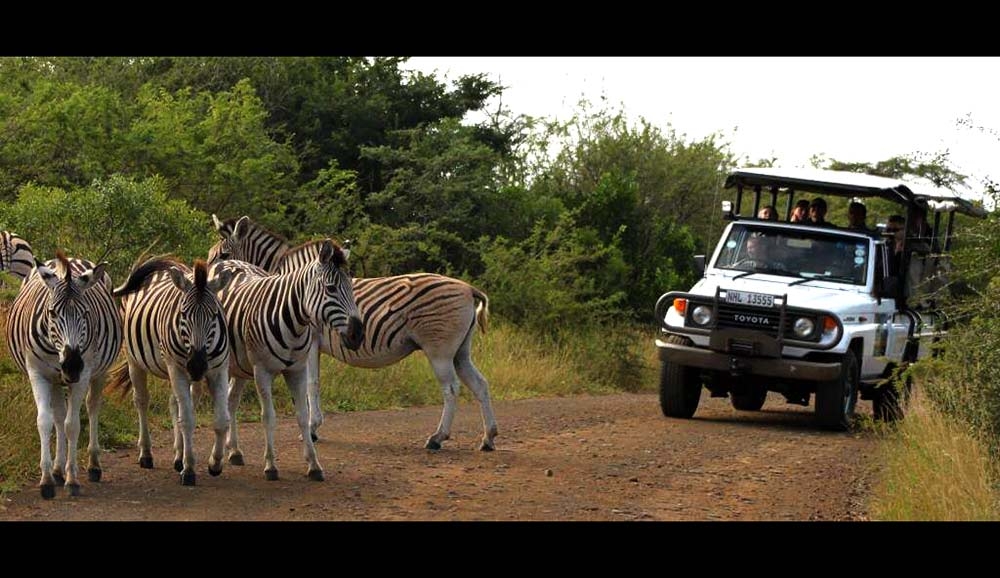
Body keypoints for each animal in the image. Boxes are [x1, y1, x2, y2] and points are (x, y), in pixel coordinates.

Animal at [5, 250, 123, 498]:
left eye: (86, 313)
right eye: (52, 313)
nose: (72, 365)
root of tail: (73, 258)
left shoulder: (83, 374)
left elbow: (72, 425)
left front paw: (72, 479)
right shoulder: (37, 373)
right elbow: (45, 421)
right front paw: (47, 479)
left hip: (98, 373)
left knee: (92, 407)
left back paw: (93, 466)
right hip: (55, 379)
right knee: (58, 415)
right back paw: (58, 470)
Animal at [105, 258, 235, 486]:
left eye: (214, 316)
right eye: (183, 314)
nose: (197, 365)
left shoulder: (219, 369)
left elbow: (221, 420)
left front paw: (215, 463)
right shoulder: (178, 368)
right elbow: (188, 421)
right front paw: (189, 469)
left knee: (175, 404)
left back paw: (178, 456)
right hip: (136, 360)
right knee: (142, 401)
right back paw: (146, 454)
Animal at [209, 215, 498, 452]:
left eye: (223, 255)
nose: (207, 283)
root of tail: (468, 288)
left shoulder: (310, 343)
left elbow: (311, 384)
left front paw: (312, 429)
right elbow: (312, 384)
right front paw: (313, 427)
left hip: (439, 350)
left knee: (451, 388)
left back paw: (438, 438)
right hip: (460, 351)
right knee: (480, 384)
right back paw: (488, 438)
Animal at [212, 239, 363, 481]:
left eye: (351, 287)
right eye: (330, 288)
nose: (358, 335)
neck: (293, 322)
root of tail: (229, 262)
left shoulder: (298, 370)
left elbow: (302, 415)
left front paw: (314, 464)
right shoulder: (262, 371)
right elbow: (268, 417)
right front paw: (271, 465)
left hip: (240, 366)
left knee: (231, 400)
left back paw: (234, 451)